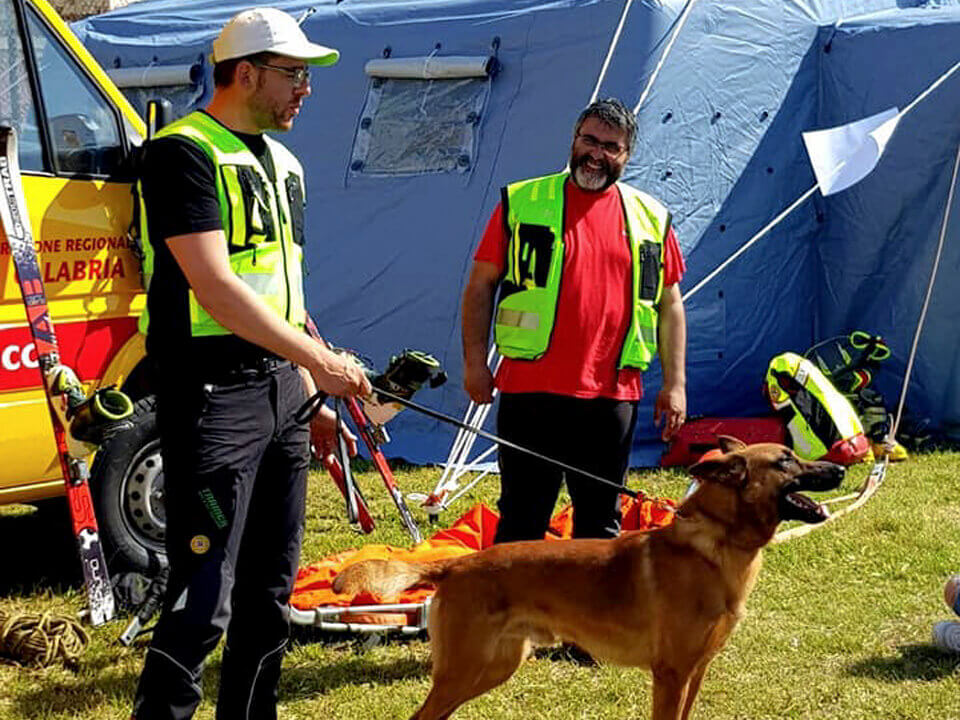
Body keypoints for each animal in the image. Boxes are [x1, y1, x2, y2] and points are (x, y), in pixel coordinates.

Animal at [334, 438, 844, 720]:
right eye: (785, 461)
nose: (840, 468)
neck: (715, 544)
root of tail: (457, 564)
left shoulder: (696, 672)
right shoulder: (672, 674)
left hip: (492, 668)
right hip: (465, 670)